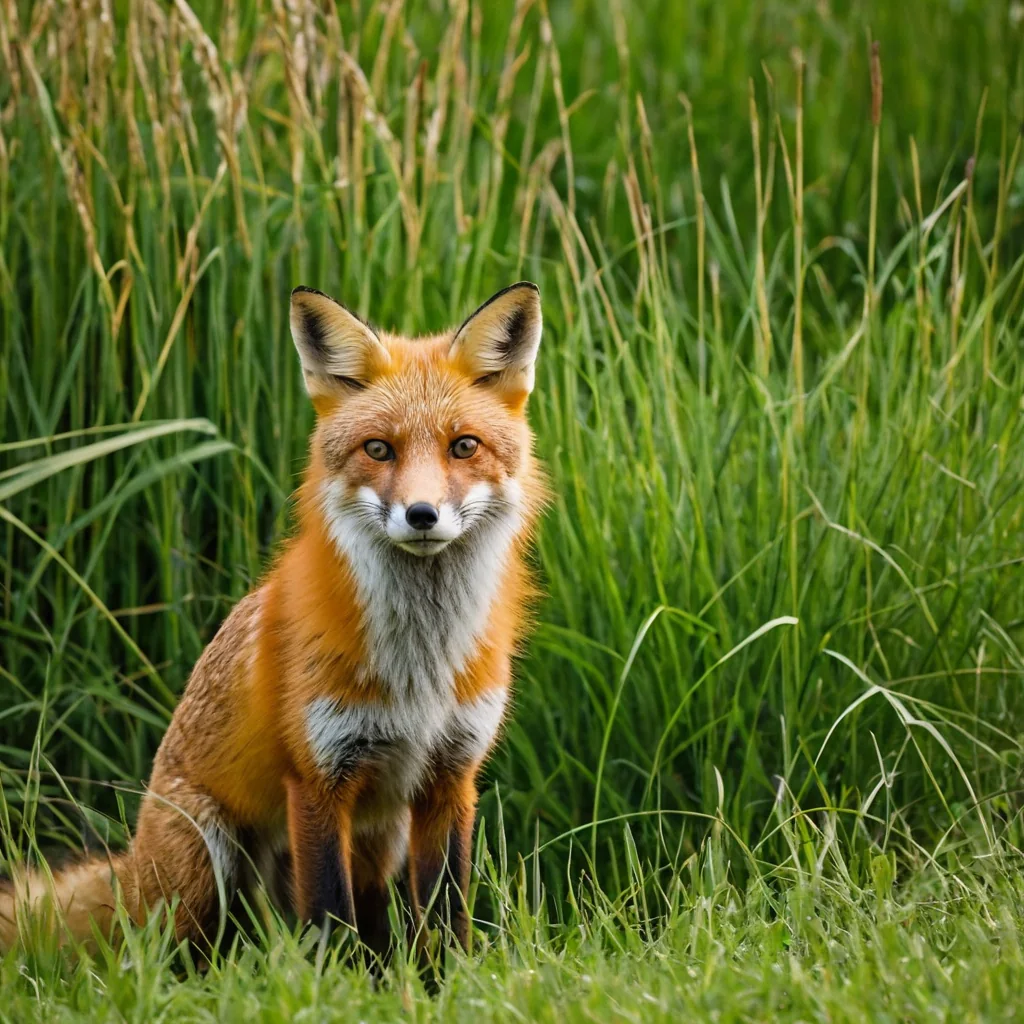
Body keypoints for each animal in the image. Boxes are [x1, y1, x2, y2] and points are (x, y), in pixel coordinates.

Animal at [0, 281, 547, 959]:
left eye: (463, 445)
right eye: (378, 449)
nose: (421, 514)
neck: (419, 669)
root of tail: (133, 863)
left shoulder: (450, 777)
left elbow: (445, 918)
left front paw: (446, 979)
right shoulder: (316, 777)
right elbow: (332, 918)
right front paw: (345, 985)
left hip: (379, 842)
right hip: (207, 864)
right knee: (178, 958)